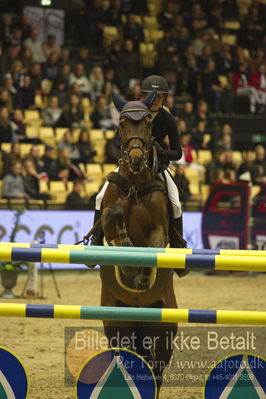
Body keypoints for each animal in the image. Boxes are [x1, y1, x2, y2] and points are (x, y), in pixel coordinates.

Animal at [98, 89, 178, 398]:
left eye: (147, 123)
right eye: (121, 123)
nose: (134, 159)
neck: (133, 184)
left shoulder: (158, 228)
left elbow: (152, 247)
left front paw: (141, 276)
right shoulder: (108, 220)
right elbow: (116, 218)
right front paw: (130, 268)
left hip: (164, 332)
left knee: (156, 371)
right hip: (117, 328)